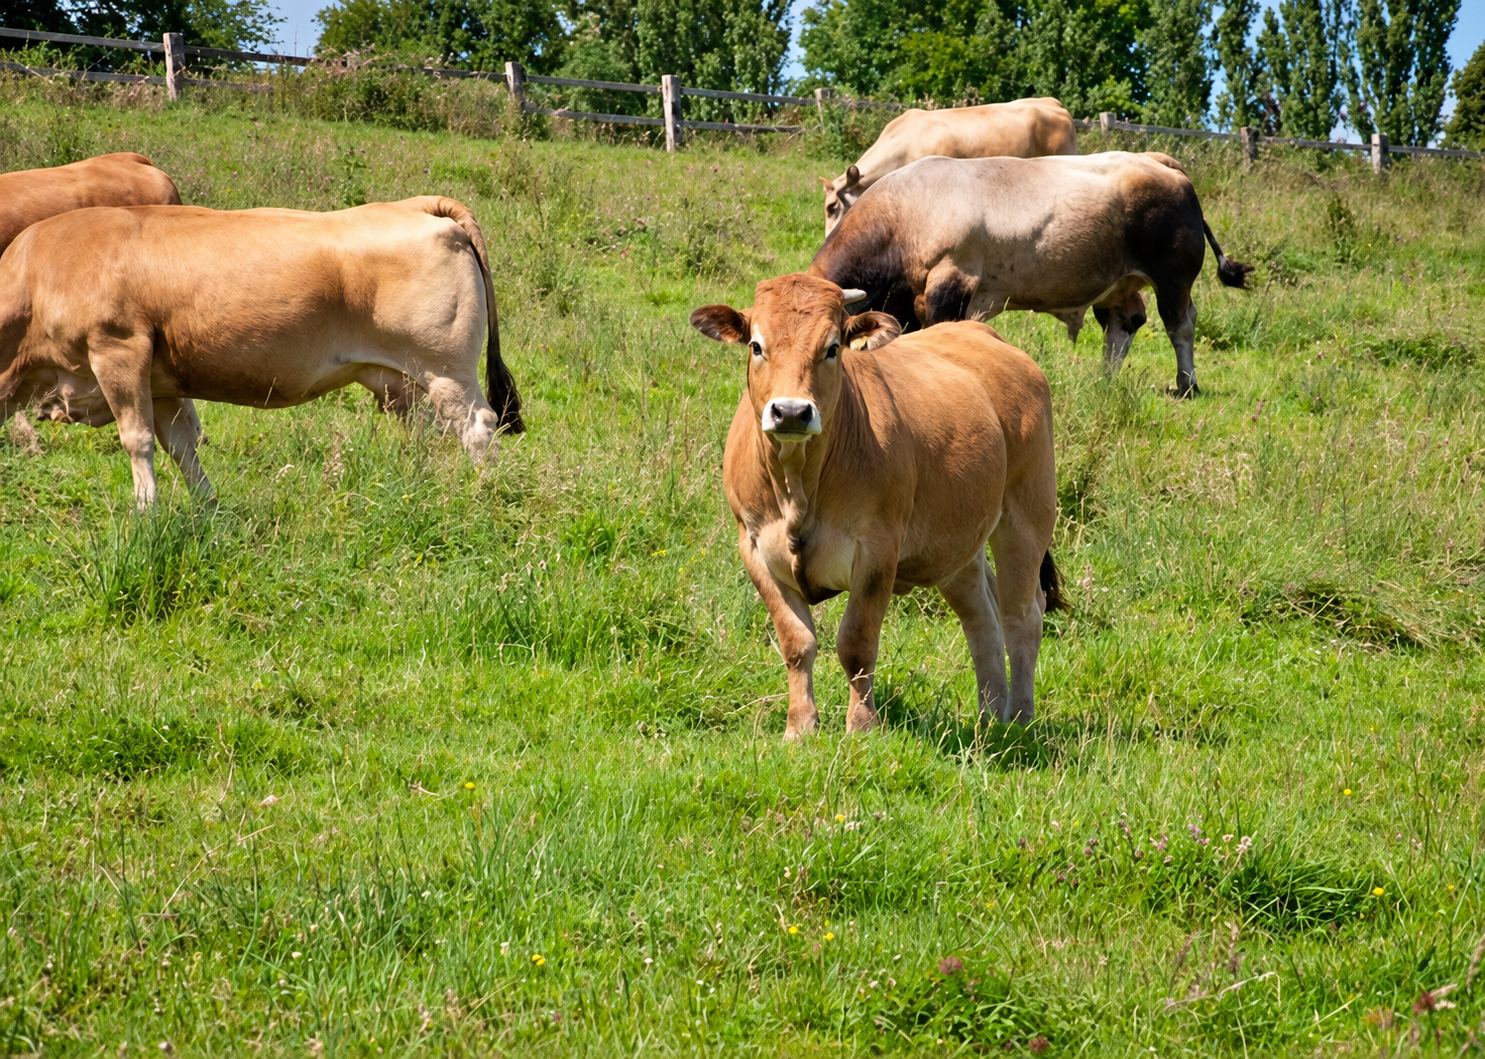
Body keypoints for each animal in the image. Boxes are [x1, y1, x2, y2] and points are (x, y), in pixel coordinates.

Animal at [0, 196, 523, 508]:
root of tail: (413, 204)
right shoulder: (161, 381)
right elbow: (182, 445)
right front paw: (207, 510)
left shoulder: (118, 351)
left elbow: (138, 440)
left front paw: (146, 512)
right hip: (401, 381)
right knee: (432, 432)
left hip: (446, 370)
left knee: (478, 427)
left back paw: (482, 493)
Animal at [691, 273, 1059, 738]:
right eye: (757, 346)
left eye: (832, 347)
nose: (790, 412)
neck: (797, 484)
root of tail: (982, 334)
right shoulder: (754, 546)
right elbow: (796, 642)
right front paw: (800, 727)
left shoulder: (877, 550)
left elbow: (856, 642)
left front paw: (862, 726)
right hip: (958, 543)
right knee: (981, 616)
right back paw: (990, 714)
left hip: (1026, 514)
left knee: (1022, 616)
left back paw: (1019, 717)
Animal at [809, 151, 1253, 397]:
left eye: (832, 347)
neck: (903, 215)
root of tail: (1159, 161)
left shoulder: (950, 284)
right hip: (1119, 284)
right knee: (1124, 325)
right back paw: (1105, 381)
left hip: (1173, 279)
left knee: (1181, 325)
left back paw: (1186, 385)